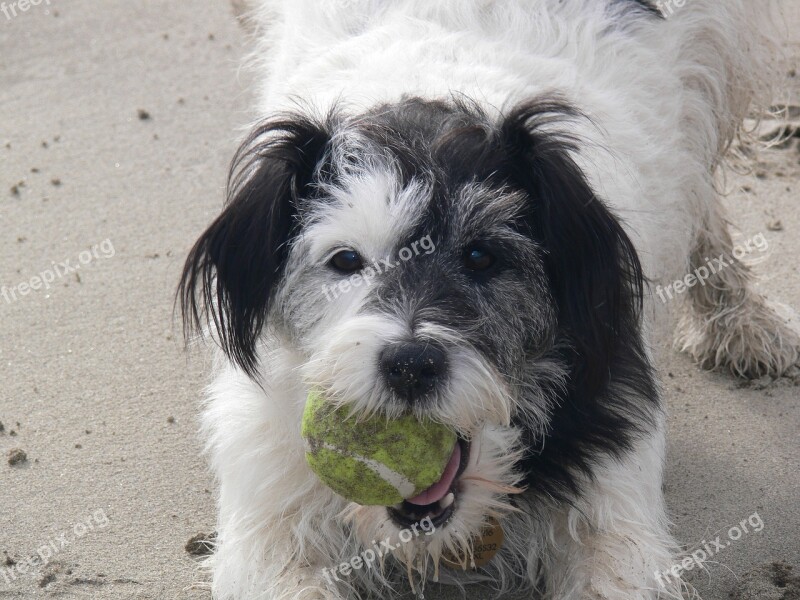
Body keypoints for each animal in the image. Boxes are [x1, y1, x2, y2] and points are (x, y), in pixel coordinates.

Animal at [178, 2, 796, 596]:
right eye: (346, 260)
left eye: (482, 256)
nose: (411, 365)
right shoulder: (269, 513)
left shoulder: (613, 498)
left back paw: (740, 317)